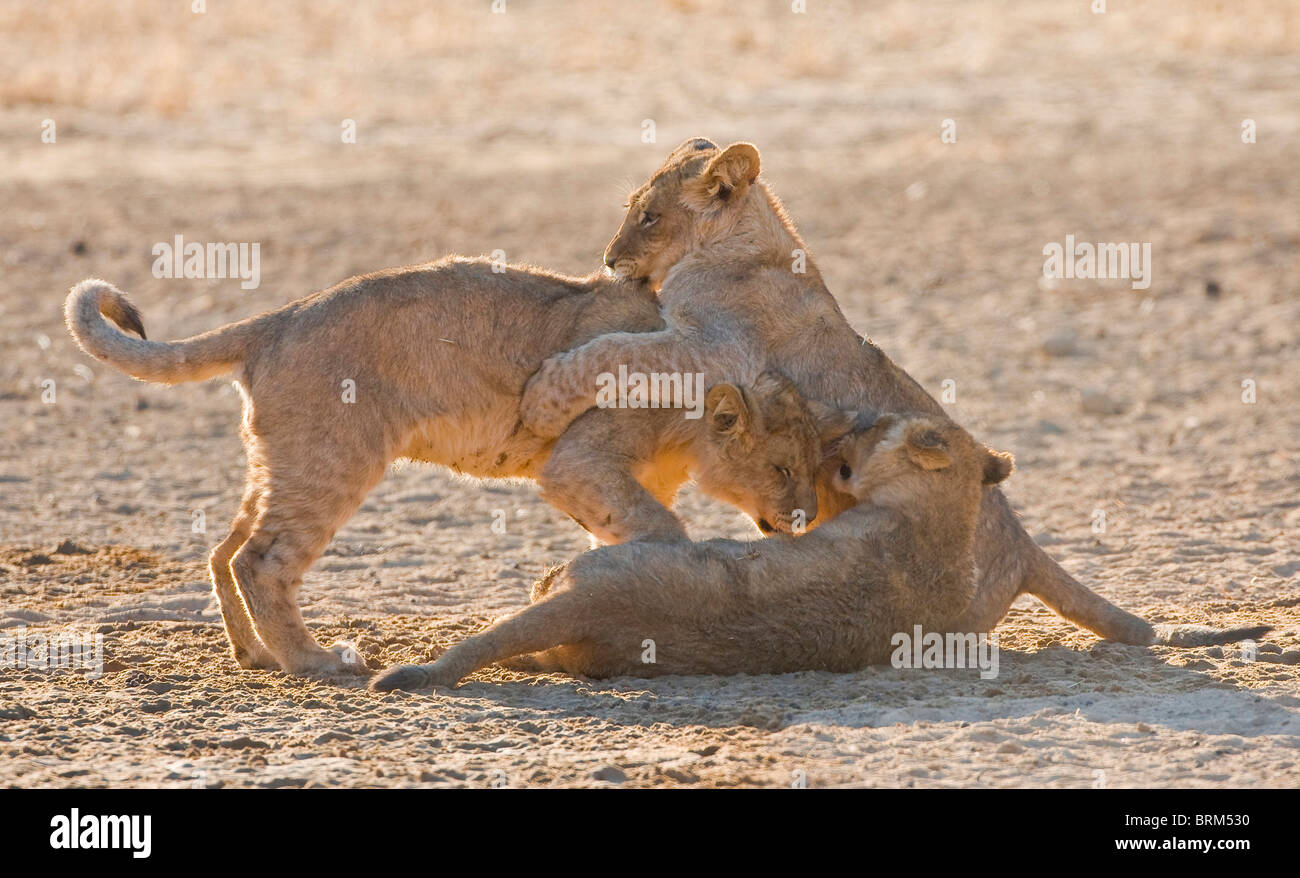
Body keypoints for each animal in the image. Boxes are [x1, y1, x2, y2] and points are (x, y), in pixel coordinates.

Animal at [65, 260, 852, 676]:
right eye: (783, 467)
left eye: (814, 467)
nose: (806, 518)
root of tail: (277, 318)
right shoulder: (576, 461)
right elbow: (661, 528)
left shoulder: (611, 481)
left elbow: (623, 528)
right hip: (332, 460)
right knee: (261, 559)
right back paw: (317, 663)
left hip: (281, 460)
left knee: (225, 549)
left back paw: (253, 655)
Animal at [518, 137, 1268, 649]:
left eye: (648, 216)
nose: (610, 259)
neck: (750, 242)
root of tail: (1025, 547)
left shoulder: (712, 349)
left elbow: (615, 350)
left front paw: (541, 396)